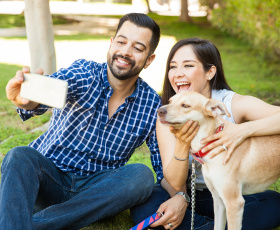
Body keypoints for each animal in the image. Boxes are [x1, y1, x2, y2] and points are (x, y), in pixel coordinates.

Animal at [156, 91, 280, 230]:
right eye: (170, 101)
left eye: (185, 105)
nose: (159, 111)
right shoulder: (218, 200)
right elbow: (217, 226)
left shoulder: (234, 203)